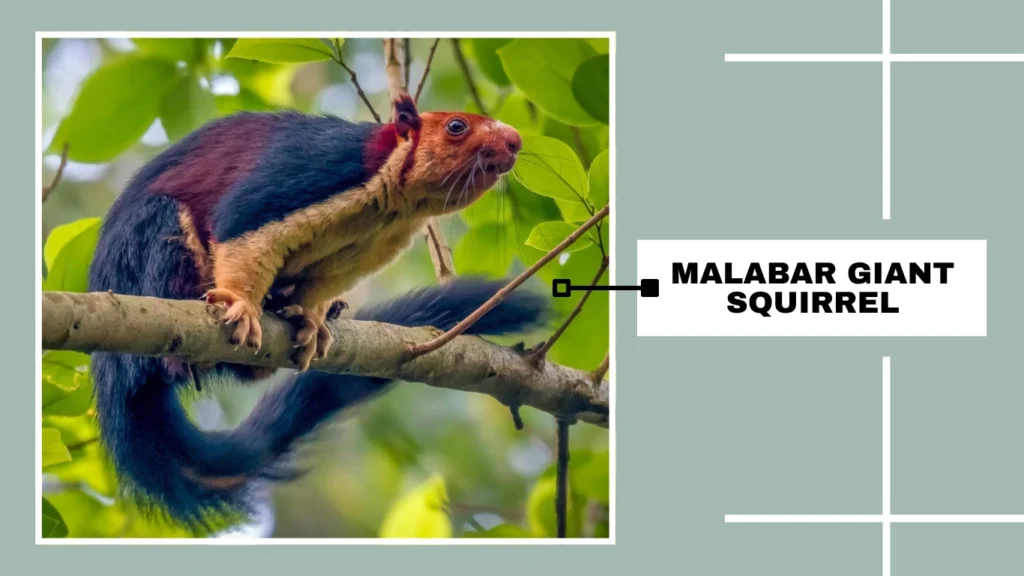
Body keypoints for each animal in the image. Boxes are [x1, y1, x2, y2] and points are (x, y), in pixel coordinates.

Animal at [86, 94, 548, 532]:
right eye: (457, 126)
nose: (515, 141)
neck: (394, 203)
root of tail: (112, 372)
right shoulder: (315, 170)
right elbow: (242, 226)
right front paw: (240, 304)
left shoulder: (369, 248)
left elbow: (322, 284)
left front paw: (311, 319)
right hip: (147, 254)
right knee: (163, 227)